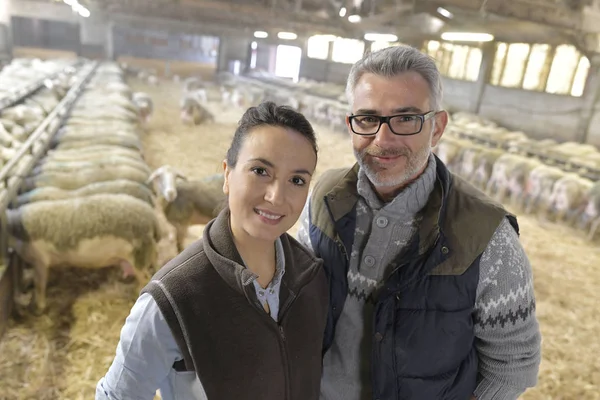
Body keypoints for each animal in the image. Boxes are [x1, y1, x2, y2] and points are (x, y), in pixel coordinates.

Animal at [7, 192, 162, 314]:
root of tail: (152, 216)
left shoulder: (40, 260)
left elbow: (39, 284)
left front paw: (38, 308)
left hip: (138, 254)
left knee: (145, 278)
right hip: (148, 251)